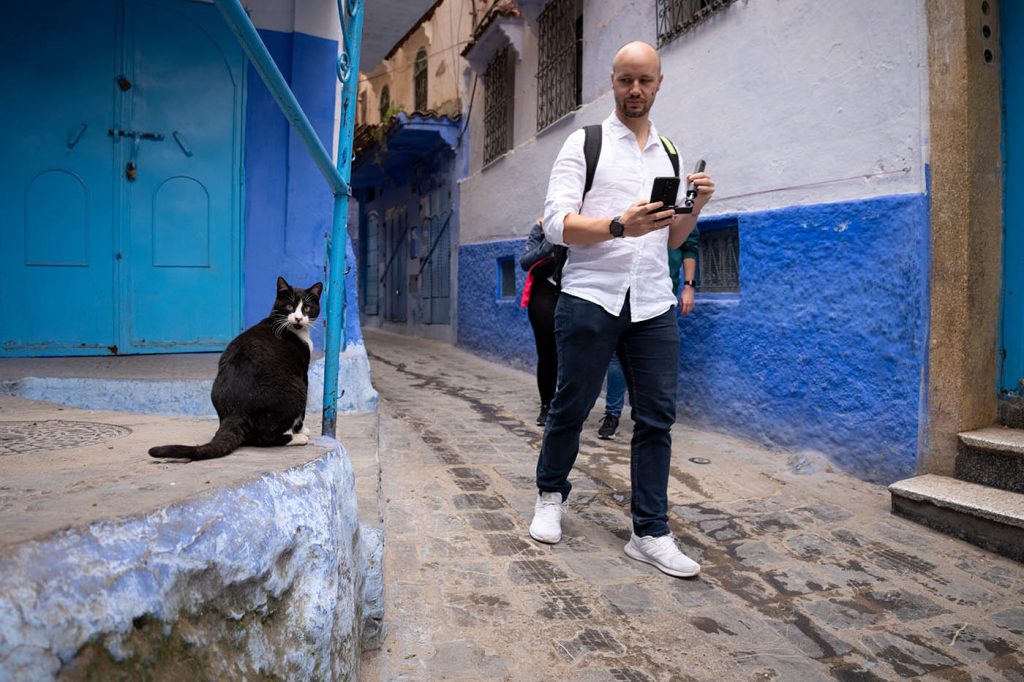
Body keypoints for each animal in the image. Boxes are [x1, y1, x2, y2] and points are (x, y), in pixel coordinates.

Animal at [148, 274, 321, 458]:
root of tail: (234, 412)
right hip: (296, 389)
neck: (294, 330)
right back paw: (297, 438)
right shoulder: (302, 371)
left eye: (307, 308)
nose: (298, 318)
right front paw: (301, 430)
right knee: (264, 439)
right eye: (289, 306)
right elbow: (302, 414)